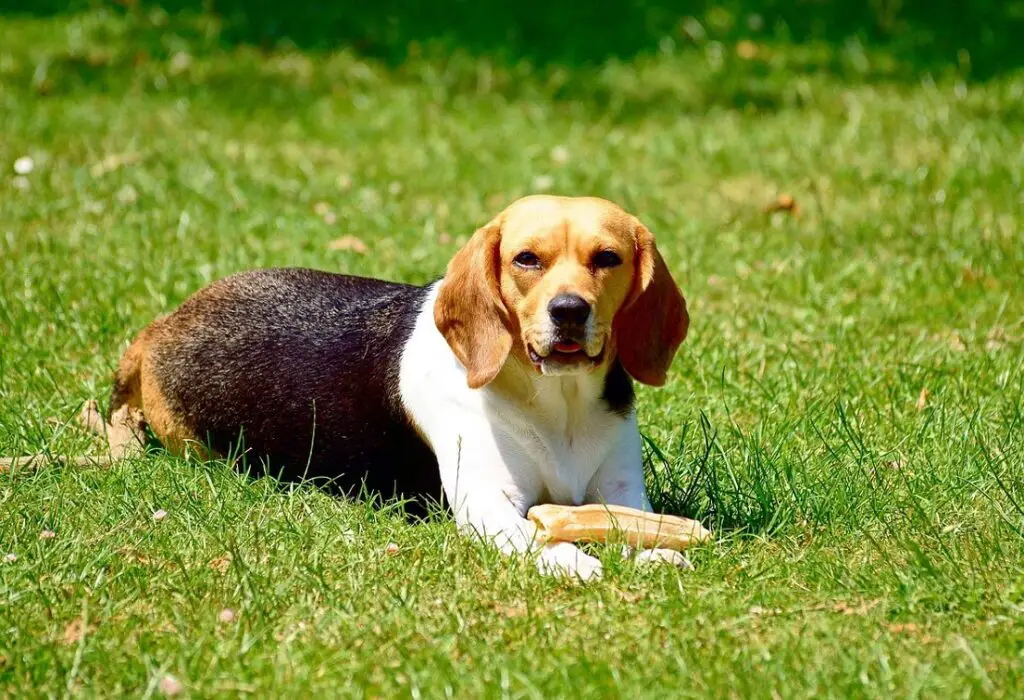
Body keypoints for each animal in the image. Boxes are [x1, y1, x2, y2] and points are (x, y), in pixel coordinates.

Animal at [110, 194, 688, 577]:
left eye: (607, 257)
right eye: (526, 258)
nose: (568, 310)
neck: (556, 404)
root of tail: (159, 328)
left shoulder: (620, 492)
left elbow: (634, 523)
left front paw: (656, 552)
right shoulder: (487, 503)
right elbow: (539, 536)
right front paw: (574, 561)